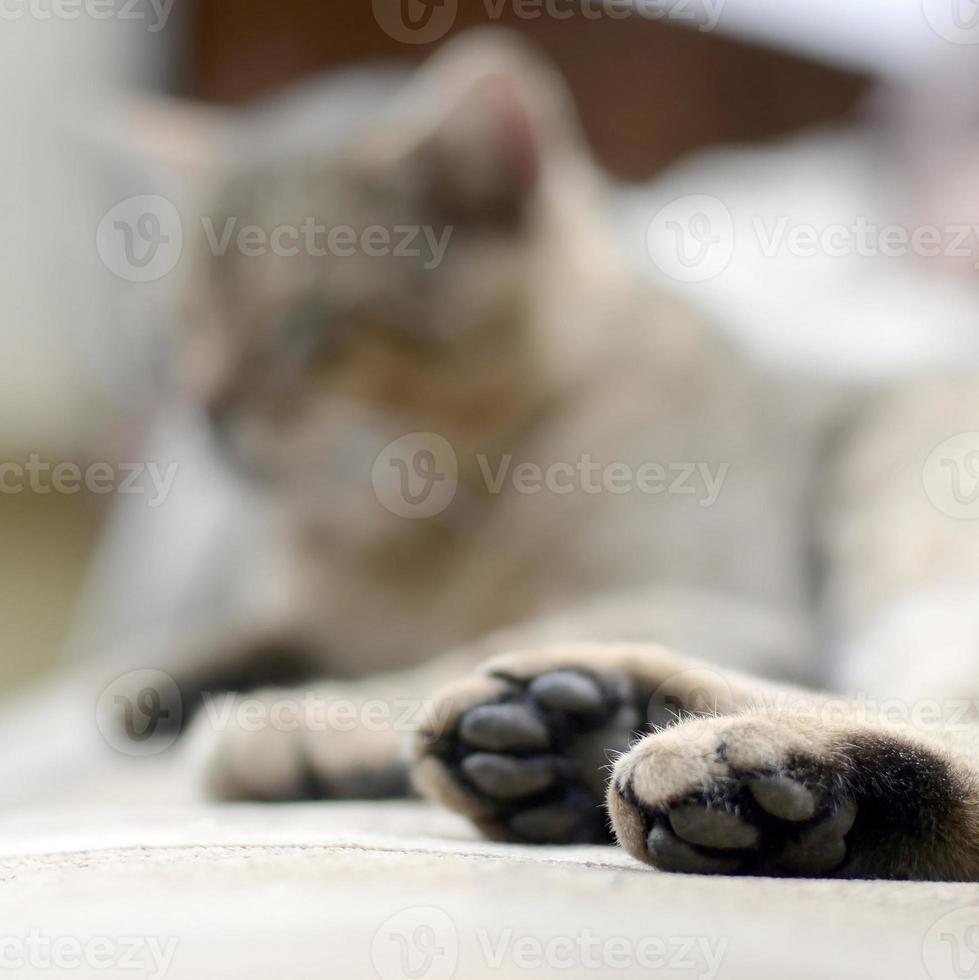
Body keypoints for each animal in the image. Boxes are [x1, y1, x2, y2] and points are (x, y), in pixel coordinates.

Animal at [94, 26, 979, 876]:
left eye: (304, 332)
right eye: (188, 330)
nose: (206, 406)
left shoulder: (726, 599)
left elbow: (454, 649)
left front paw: (312, 718)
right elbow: (257, 631)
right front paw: (161, 680)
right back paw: (589, 720)